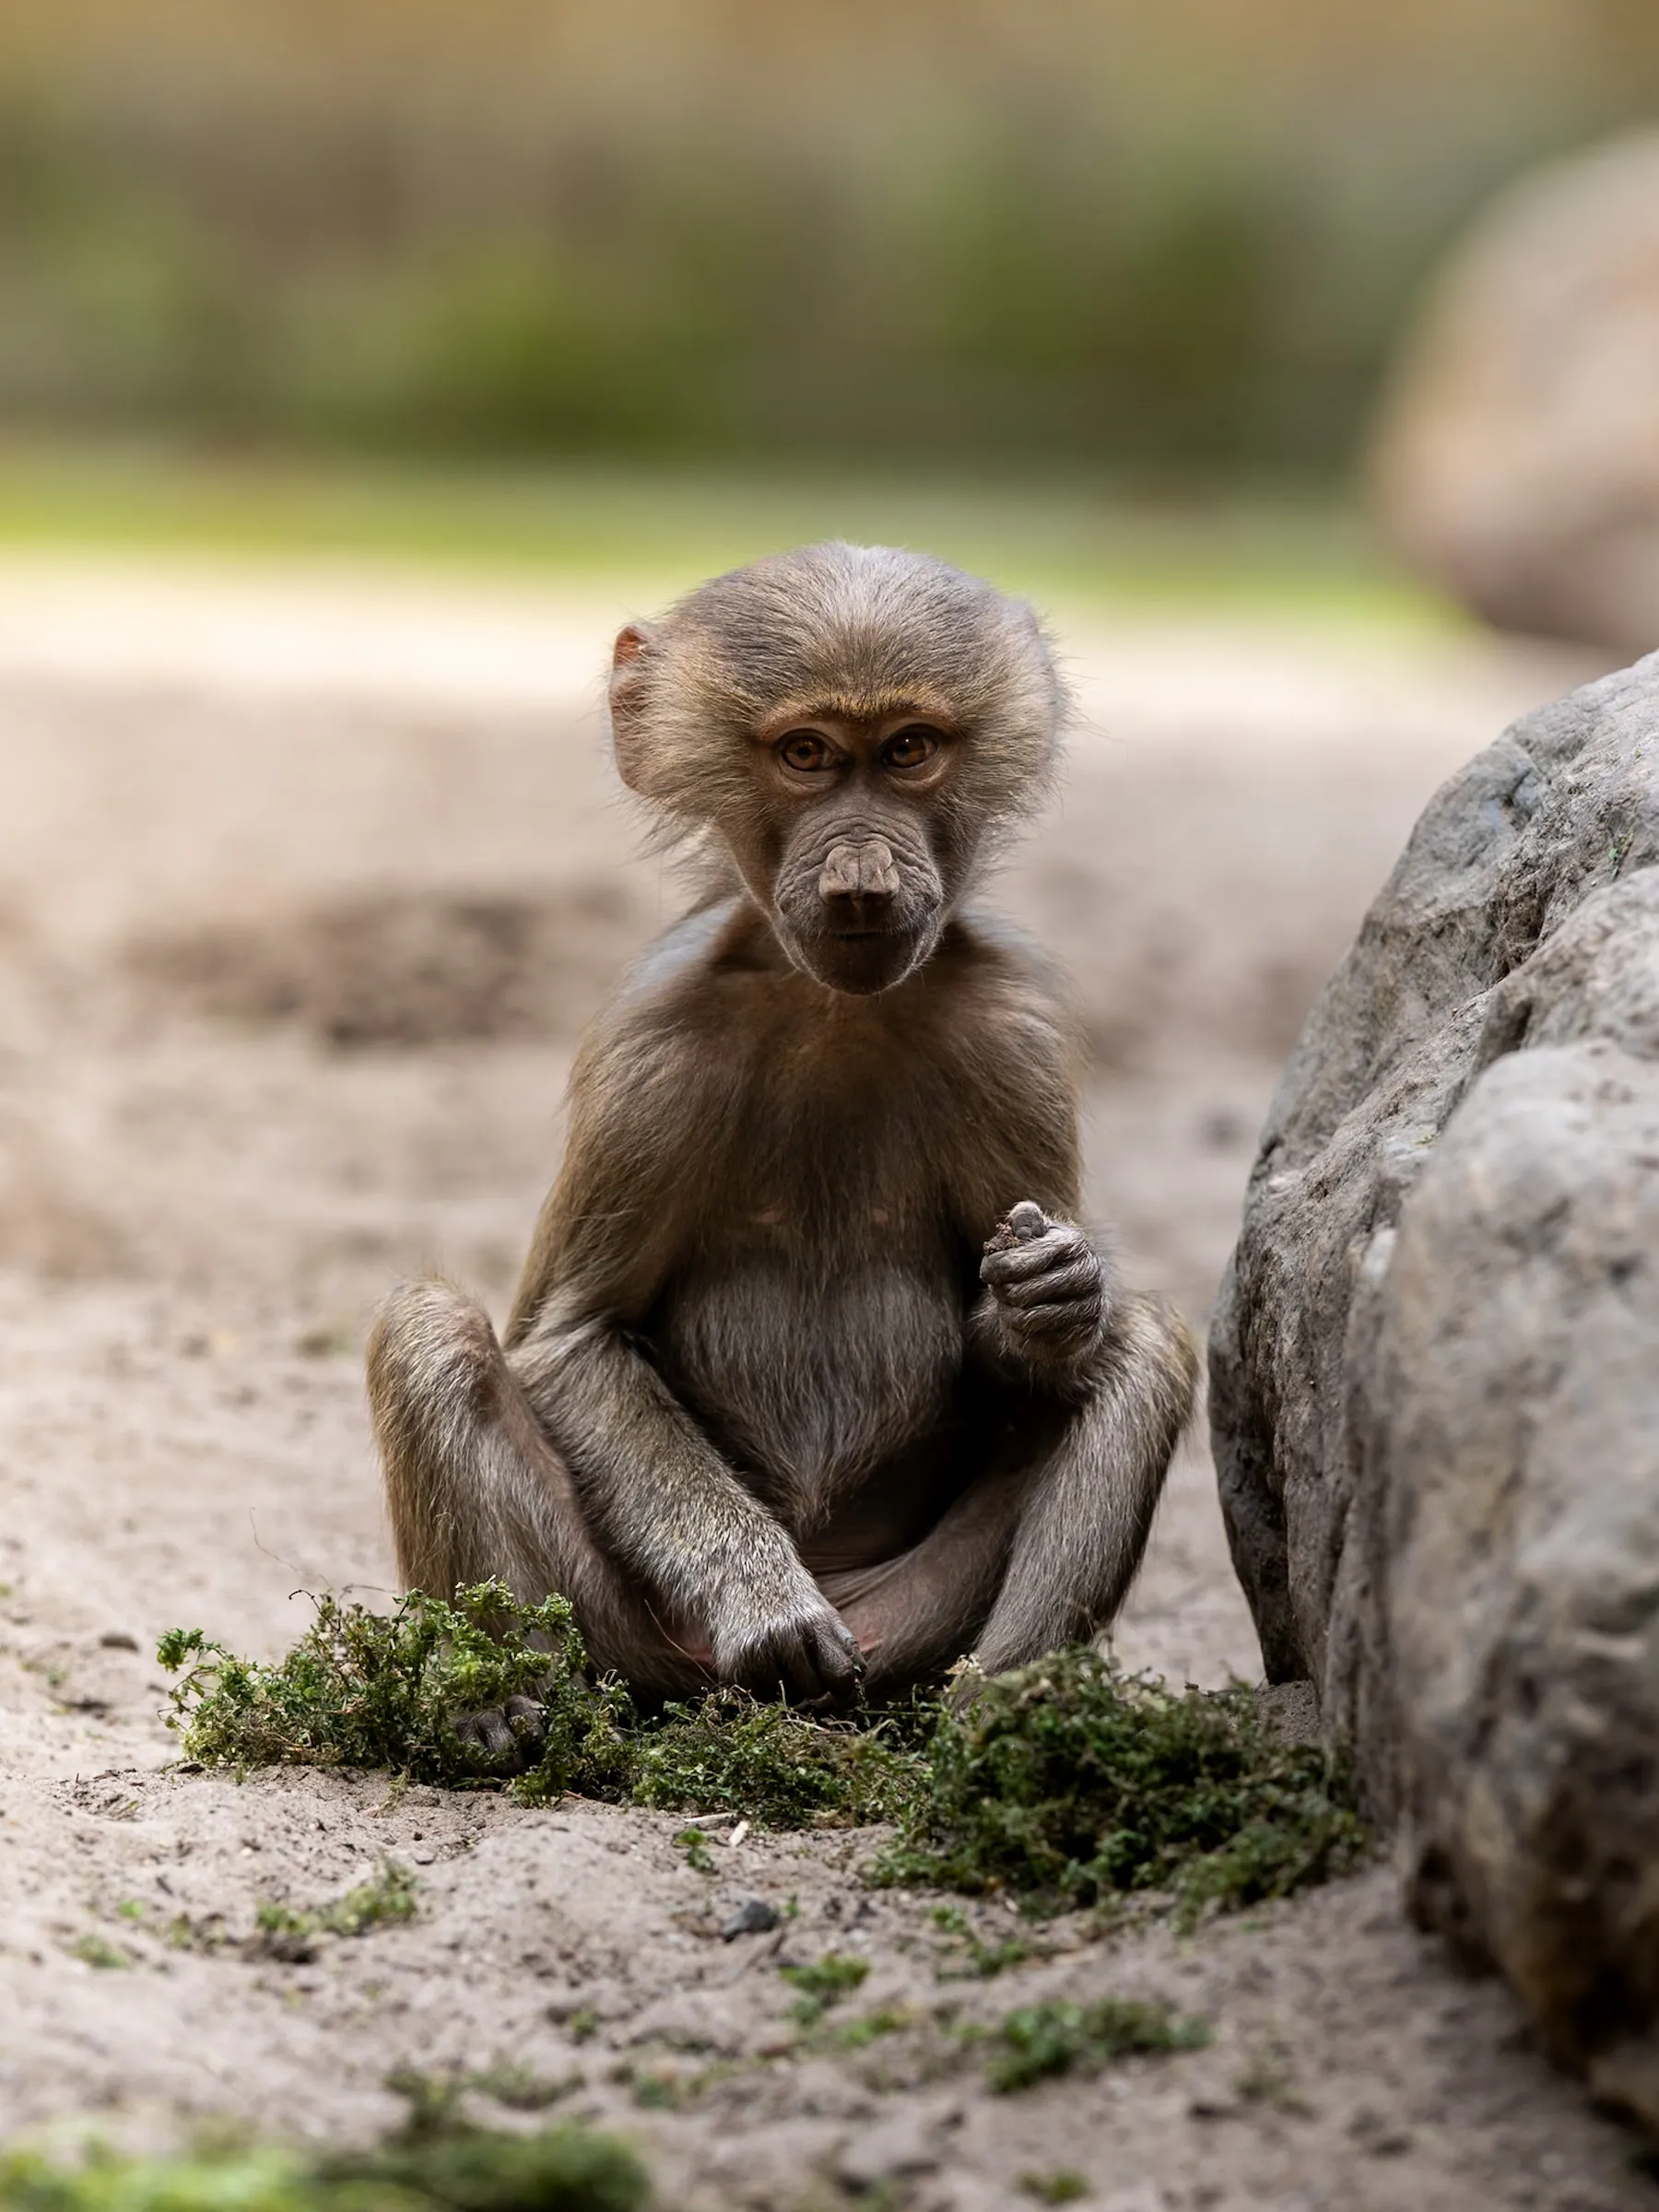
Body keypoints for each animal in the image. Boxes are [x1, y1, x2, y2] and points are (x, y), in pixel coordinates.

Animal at [367, 542, 1197, 1727]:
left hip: (910, 1631)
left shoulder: (1015, 1038)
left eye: (909, 751)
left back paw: (996, 1729)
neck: (835, 1008)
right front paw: (763, 1601)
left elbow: (1058, 1344)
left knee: (1148, 1346)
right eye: (806, 755)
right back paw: (496, 1709)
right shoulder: (652, 1057)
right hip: (623, 1636)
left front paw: (1048, 1300)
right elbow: (575, 1338)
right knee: (430, 1331)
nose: (862, 882)